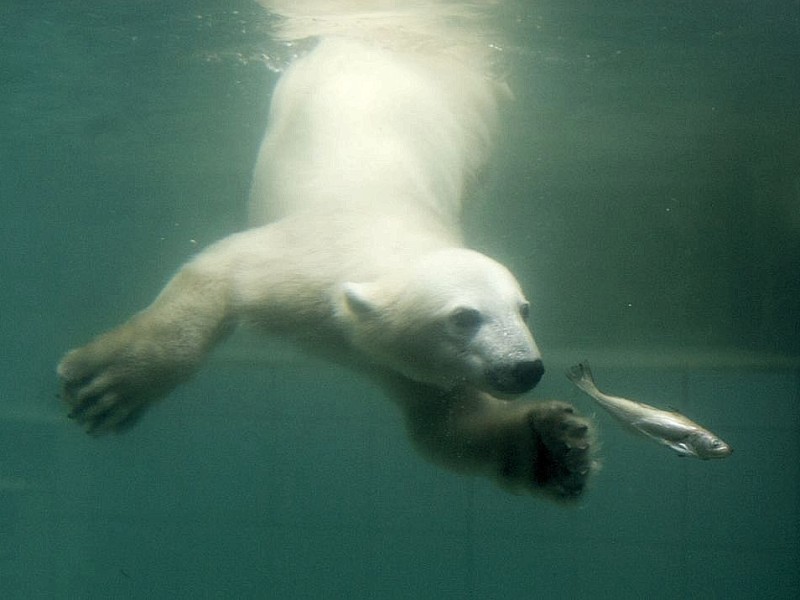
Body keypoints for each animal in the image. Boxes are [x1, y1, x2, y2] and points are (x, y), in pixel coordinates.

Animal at [57, 0, 592, 502]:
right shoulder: (307, 264)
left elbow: (449, 428)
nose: (526, 367)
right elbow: (221, 271)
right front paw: (106, 387)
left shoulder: (402, 362)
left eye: (524, 309)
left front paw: (557, 445)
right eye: (464, 317)